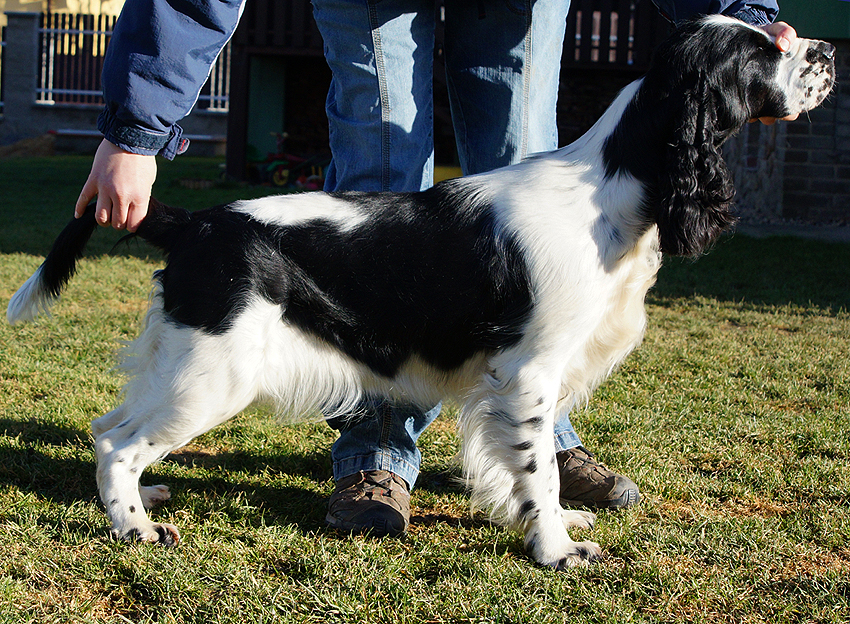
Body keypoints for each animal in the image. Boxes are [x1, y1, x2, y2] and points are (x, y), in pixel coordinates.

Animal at [4, 15, 828, 572]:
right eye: (761, 52)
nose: (824, 50)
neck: (613, 186)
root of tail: (194, 222)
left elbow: (527, 472)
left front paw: (553, 522)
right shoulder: (528, 374)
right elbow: (538, 469)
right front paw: (557, 549)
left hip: (183, 364)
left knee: (107, 428)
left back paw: (147, 502)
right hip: (213, 375)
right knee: (120, 444)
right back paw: (136, 528)